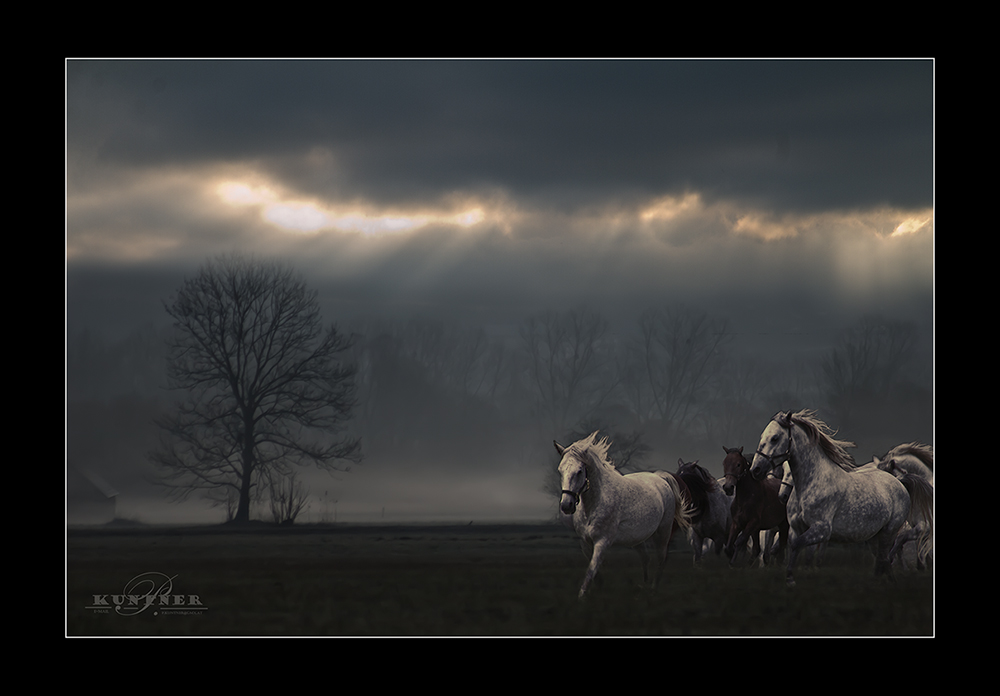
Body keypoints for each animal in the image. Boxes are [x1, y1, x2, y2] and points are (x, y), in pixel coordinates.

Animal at [556, 432, 696, 596]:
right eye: (560, 471)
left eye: (579, 471)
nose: (566, 505)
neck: (593, 505)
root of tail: (661, 478)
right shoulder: (585, 543)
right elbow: (594, 573)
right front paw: (598, 589)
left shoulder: (602, 542)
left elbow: (591, 570)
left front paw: (582, 597)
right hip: (637, 538)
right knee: (646, 558)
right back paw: (644, 585)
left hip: (663, 532)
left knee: (661, 558)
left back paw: (653, 588)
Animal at [752, 408, 928, 588]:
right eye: (763, 436)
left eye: (775, 438)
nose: (755, 469)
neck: (811, 484)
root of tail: (900, 481)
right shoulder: (796, 528)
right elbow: (793, 547)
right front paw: (790, 578)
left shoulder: (822, 530)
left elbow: (796, 546)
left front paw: (792, 578)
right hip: (874, 536)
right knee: (881, 558)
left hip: (889, 531)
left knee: (886, 556)